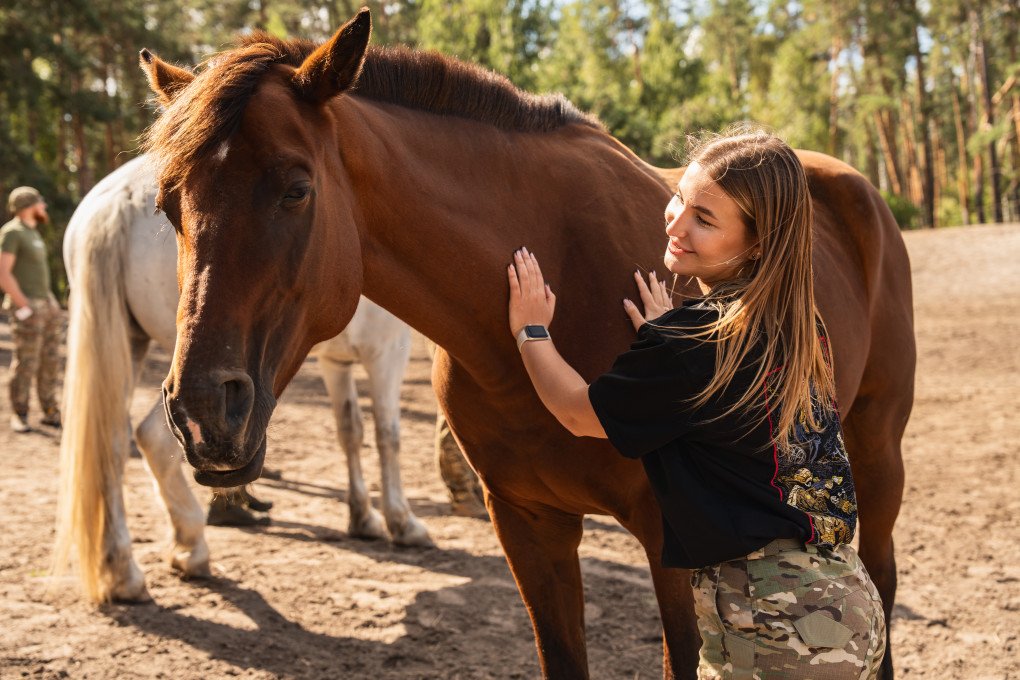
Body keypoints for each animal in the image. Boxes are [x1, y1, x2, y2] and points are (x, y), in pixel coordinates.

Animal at [54, 154, 432, 604]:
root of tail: (118, 200)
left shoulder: (336, 364)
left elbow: (349, 432)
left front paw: (362, 516)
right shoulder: (387, 351)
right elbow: (387, 435)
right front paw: (401, 521)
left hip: (130, 346)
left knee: (111, 442)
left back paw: (127, 569)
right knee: (153, 437)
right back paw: (191, 545)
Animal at [139, 10, 913, 678]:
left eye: (297, 189)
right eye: (167, 206)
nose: (204, 412)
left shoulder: (672, 545)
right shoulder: (527, 525)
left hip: (878, 451)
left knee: (880, 584)